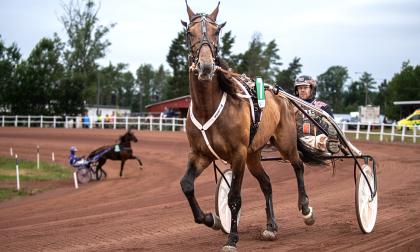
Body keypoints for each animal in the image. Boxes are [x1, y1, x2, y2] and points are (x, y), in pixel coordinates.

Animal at [179, 2, 324, 251]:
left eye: (217, 32)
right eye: (189, 32)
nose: (206, 66)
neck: (209, 106)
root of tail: (282, 95)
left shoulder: (237, 155)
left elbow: (233, 198)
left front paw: (232, 239)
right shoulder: (200, 154)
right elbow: (187, 185)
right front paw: (211, 219)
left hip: (284, 143)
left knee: (298, 165)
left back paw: (306, 209)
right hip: (253, 154)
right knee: (266, 183)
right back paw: (271, 226)